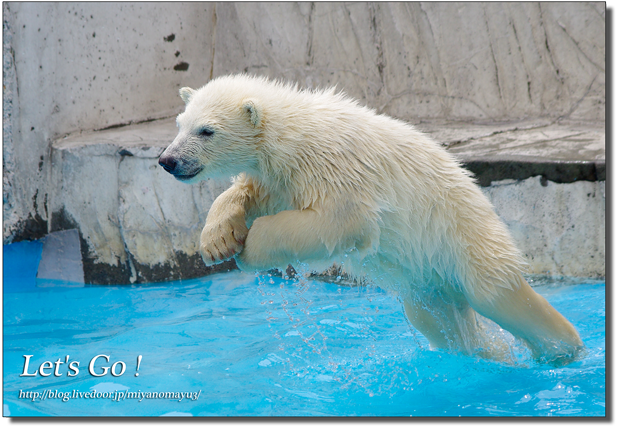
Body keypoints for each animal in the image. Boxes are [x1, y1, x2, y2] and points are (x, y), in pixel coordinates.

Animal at [157, 74, 584, 362]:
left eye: (207, 131)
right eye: (179, 124)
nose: (168, 160)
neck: (292, 132)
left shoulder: (333, 168)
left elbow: (342, 222)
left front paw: (252, 248)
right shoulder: (280, 178)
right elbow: (246, 194)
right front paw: (218, 239)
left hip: (466, 238)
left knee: (500, 296)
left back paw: (563, 350)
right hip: (426, 282)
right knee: (440, 322)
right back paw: (489, 354)